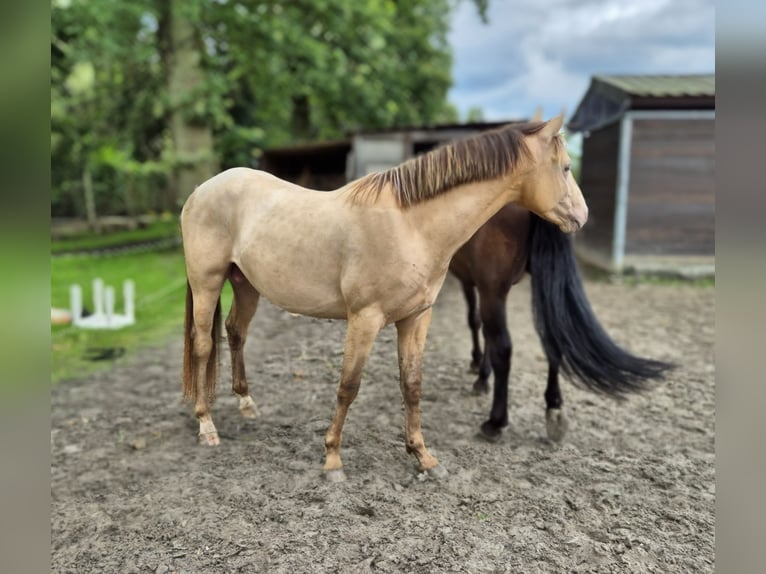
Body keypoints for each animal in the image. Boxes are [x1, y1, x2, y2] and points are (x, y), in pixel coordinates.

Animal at [183, 116, 592, 482]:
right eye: (566, 167)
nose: (582, 216)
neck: (410, 225)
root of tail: (201, 190)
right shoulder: (365, 319)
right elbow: (348, 386)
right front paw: (332, 459)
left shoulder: (415, 318)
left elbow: (411, 385)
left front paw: (423, 456)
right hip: (207, 283)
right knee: (203, 345)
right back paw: (206, 424)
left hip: (246, 285)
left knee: (235, 332)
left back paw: (246, 403)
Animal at [452, 205, 676, 444]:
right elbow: (484, 329)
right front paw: (482, 374)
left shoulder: (474, 282)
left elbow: (475, 321)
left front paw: (479, 370)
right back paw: (554, 407)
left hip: (494, 288)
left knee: (503, 347)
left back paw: (495, 422)